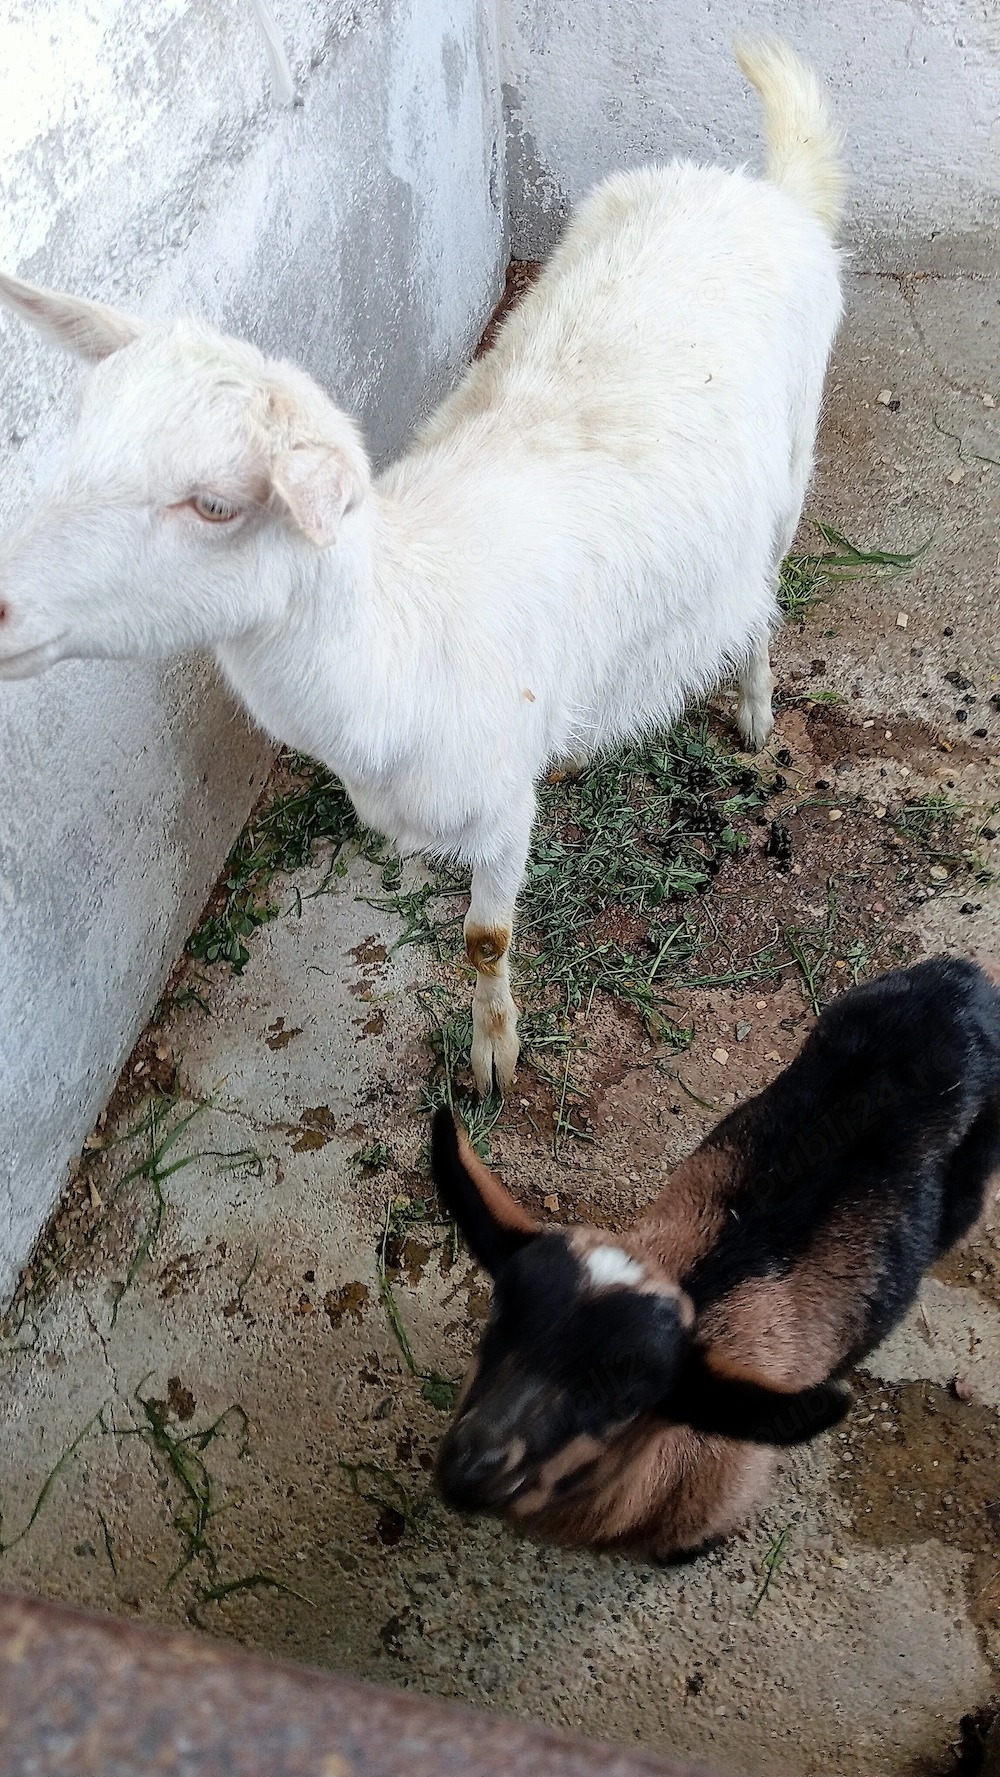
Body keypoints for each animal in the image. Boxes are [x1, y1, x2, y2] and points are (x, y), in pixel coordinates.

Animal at [0, 39, 843, 1094]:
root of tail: (757, 186)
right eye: (76, 442)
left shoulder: (502, 796)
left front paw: (492, 1060)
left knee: (766, 589)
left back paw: (756, 706)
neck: (396, 644)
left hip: (794, 459)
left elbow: (485, 938)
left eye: (216, 505)